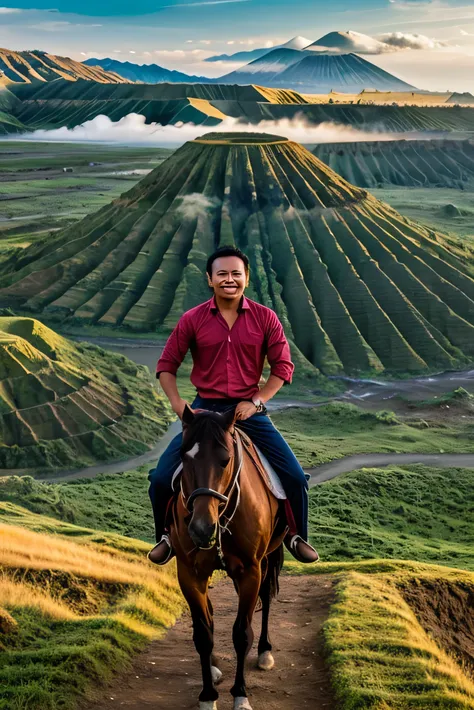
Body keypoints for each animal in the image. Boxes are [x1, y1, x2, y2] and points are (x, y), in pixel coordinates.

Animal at [172, 406, 286, 710]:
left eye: (225, 460)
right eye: (183, 457)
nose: (201, 528)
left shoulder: (250, 571)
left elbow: (241, 634)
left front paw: (240, 695)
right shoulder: (190, 574)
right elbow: (203, 633)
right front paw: (208, 696)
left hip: (266, 558)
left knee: (265, 597)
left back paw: (264, 650)